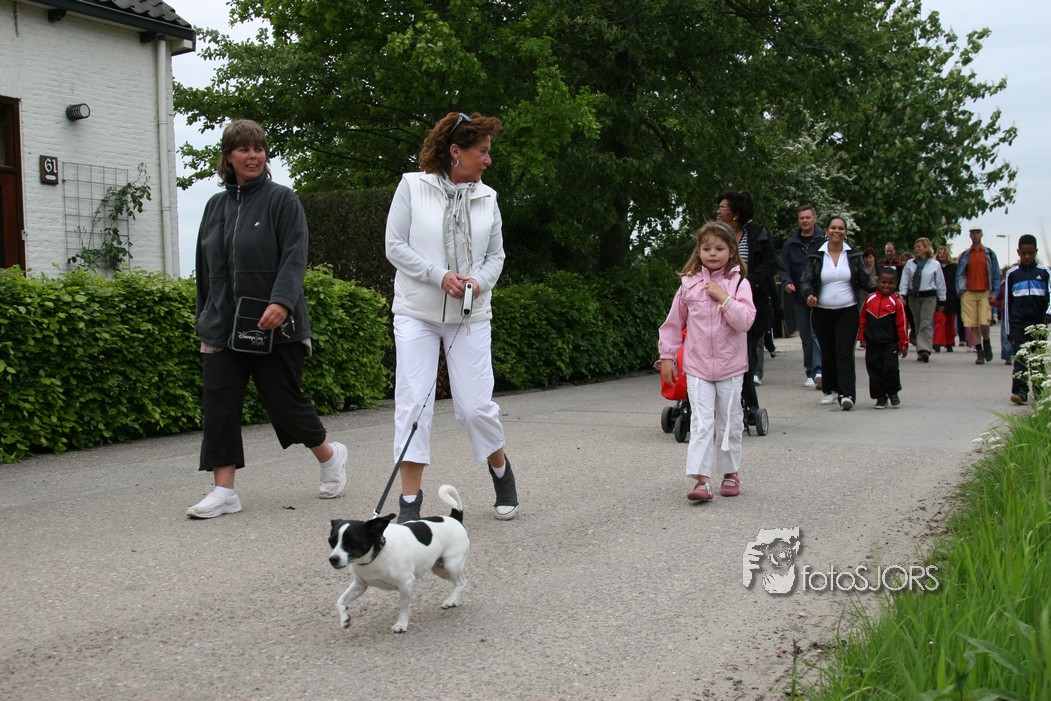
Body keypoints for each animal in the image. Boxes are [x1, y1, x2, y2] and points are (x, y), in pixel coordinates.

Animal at [328, 484, 470, 633]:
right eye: (331, 541)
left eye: (352, 542)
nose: (333, 559)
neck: (378, 553)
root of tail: (455, 518)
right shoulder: (359, 585)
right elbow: (341, 600)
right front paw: (345, 618)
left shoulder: (405, 584)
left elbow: (404, 607)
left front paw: (401, 625)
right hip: (440, 569)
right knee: (460, 581)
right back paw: (454, 600)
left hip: (451, 565)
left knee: (461, 582)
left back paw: (450, 600)